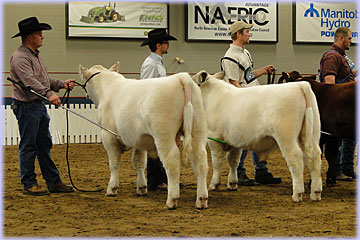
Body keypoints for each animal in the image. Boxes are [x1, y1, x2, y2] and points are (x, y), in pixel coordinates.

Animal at [79, 63, 208, 208]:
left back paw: (172, 200)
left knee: (172, 161)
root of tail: (181, 77)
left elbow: (114, 163)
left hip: (164, 135)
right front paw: (141, 187)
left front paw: (112, 188)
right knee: (200, 160)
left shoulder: (107, 135)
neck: (107, 88)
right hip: (198, 130)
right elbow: (139, 162)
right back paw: (201, 199)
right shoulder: (139, 138)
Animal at [193, 70, 322, 202]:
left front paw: (214, 184)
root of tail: (300, 85)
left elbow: (217, 162)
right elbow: (233, 161)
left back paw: (297, 194)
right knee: (314, 156)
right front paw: (233, 183)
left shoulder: (214, 138)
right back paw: (316, 192)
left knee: (296, 158)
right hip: (311, 134)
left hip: (286, 136)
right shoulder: (234, 140)